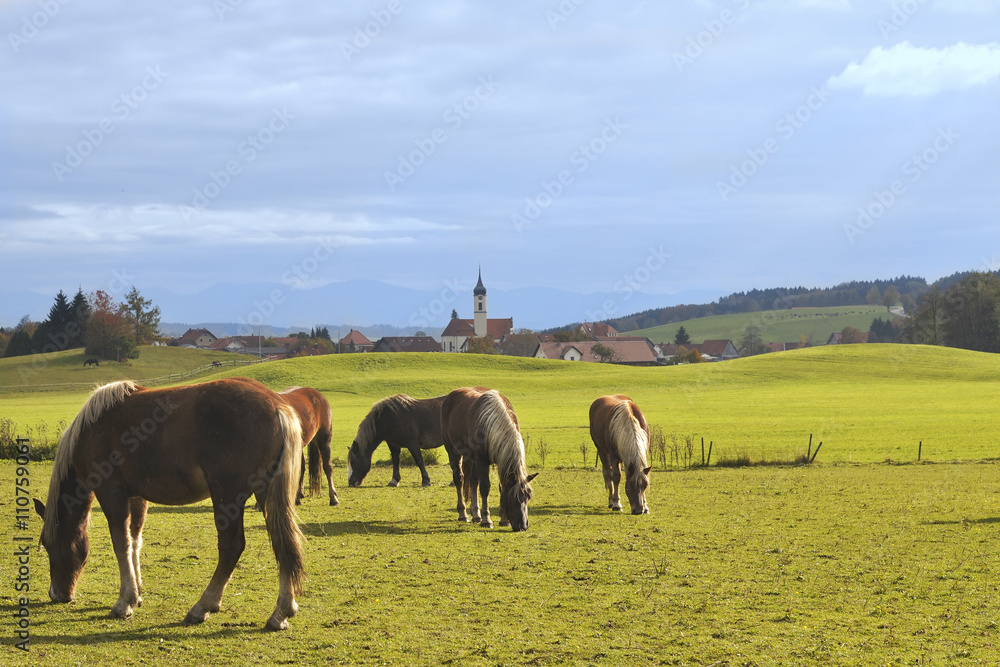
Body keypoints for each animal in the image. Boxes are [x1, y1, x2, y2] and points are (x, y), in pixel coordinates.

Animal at [33, 377, 306, 631]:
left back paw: (202, 607)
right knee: (283, 543)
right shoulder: (136, 497)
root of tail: (277, 405)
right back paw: (282, 611)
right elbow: (135, 541)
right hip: (266, 495)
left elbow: (121, 544)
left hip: (227, 496)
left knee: (232, 547)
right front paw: (137, 594)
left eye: (48, 544)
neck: (92, 428)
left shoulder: (112, 494)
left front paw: (124, 602)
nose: (56, 594)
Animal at [441, 387, 537, 531]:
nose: (523, 526)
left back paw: (476, 515)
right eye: (513, 498)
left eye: (528, 496)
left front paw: (503, 520)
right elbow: (485, 487)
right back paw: (463, 514)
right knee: (459, 479)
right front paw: (487, 520)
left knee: (473, 482)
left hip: (472, 459)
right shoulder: (481, 460)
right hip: (453, 451)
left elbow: (501, 487)